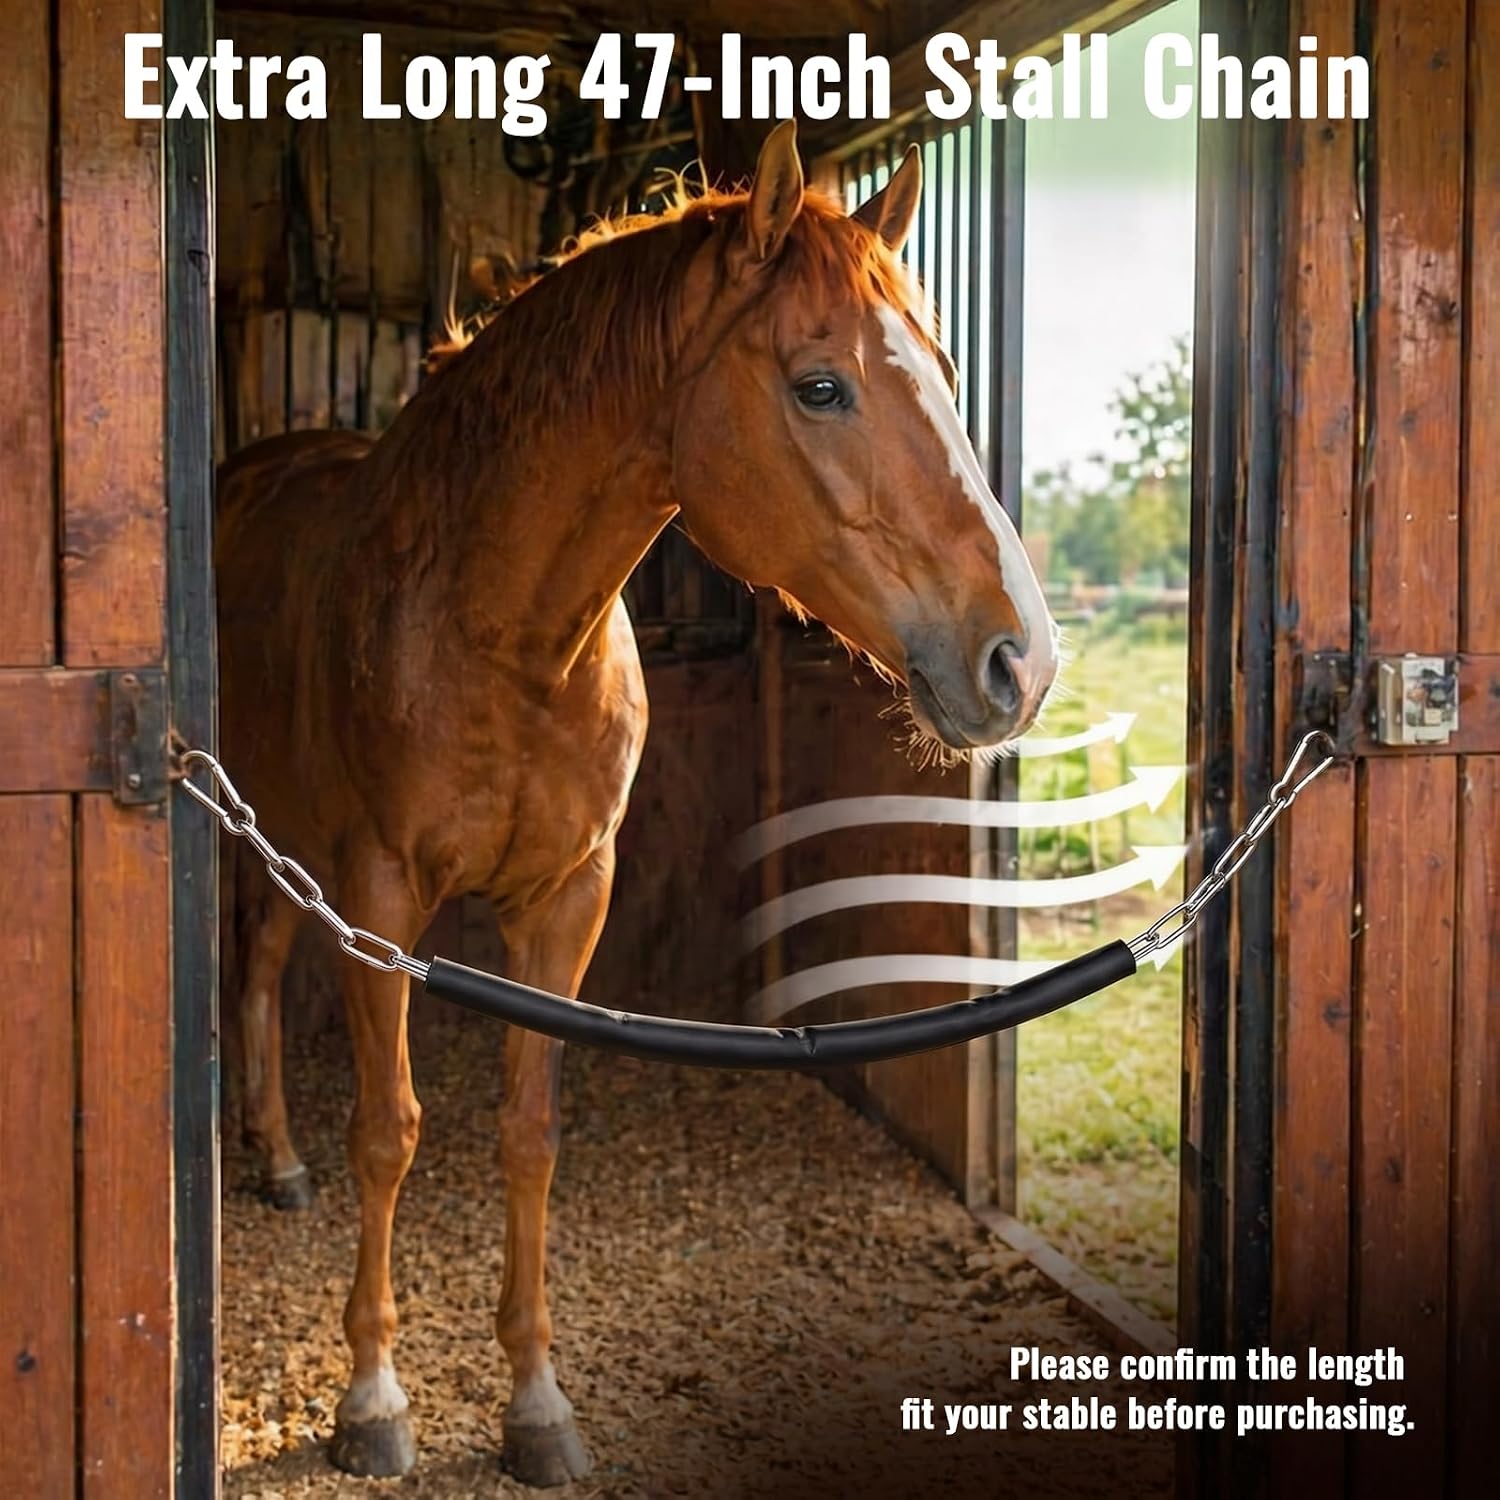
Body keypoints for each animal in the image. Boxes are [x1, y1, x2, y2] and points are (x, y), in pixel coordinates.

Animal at [217, 119, 1059, 1485]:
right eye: (820, 386)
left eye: (938, 369)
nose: (1019, 661)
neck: (493, 631)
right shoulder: (383, 897)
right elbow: (391, 1130)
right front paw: (374, 1399)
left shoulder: (569, 898)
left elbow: (529, 1130)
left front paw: (536, 1404)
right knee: (253, 971)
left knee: (264, 961)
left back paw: (277, 1158)